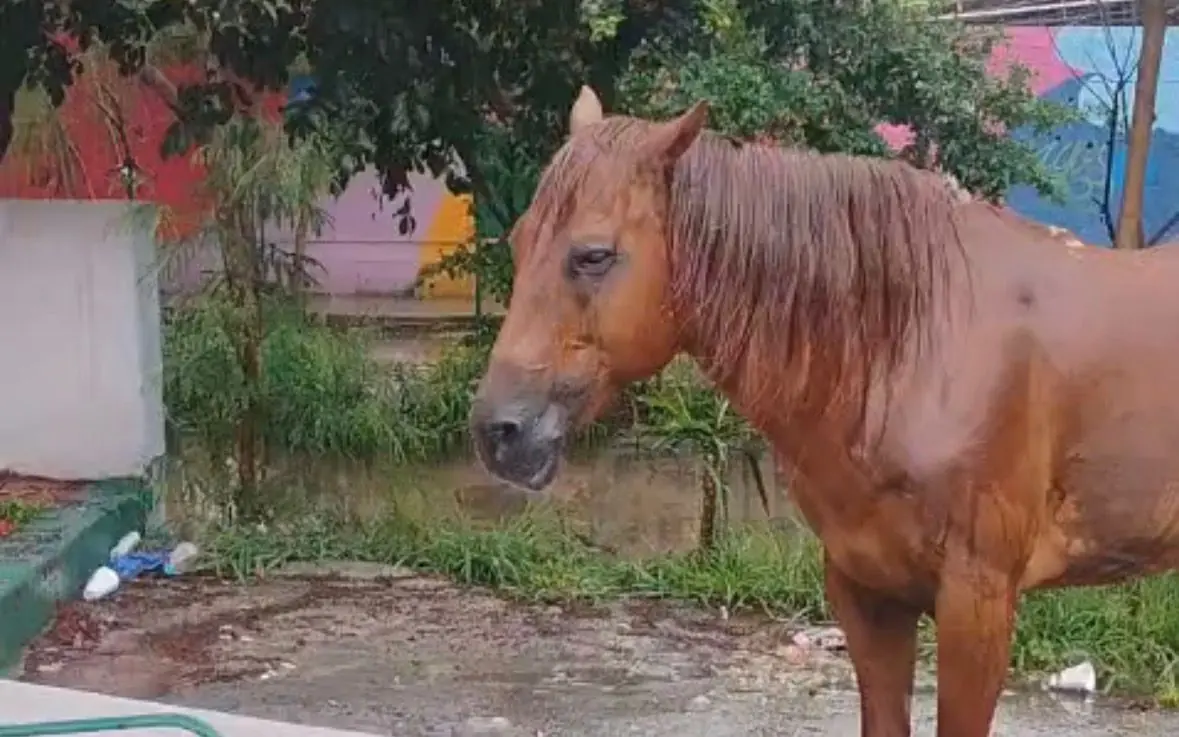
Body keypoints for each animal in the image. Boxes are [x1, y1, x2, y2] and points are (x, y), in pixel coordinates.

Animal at [468, 85, 1179, 737]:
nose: (498, 432)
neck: (917, 340)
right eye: (519, 240)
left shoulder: (977, 603)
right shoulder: (866, 593)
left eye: (593, 255)